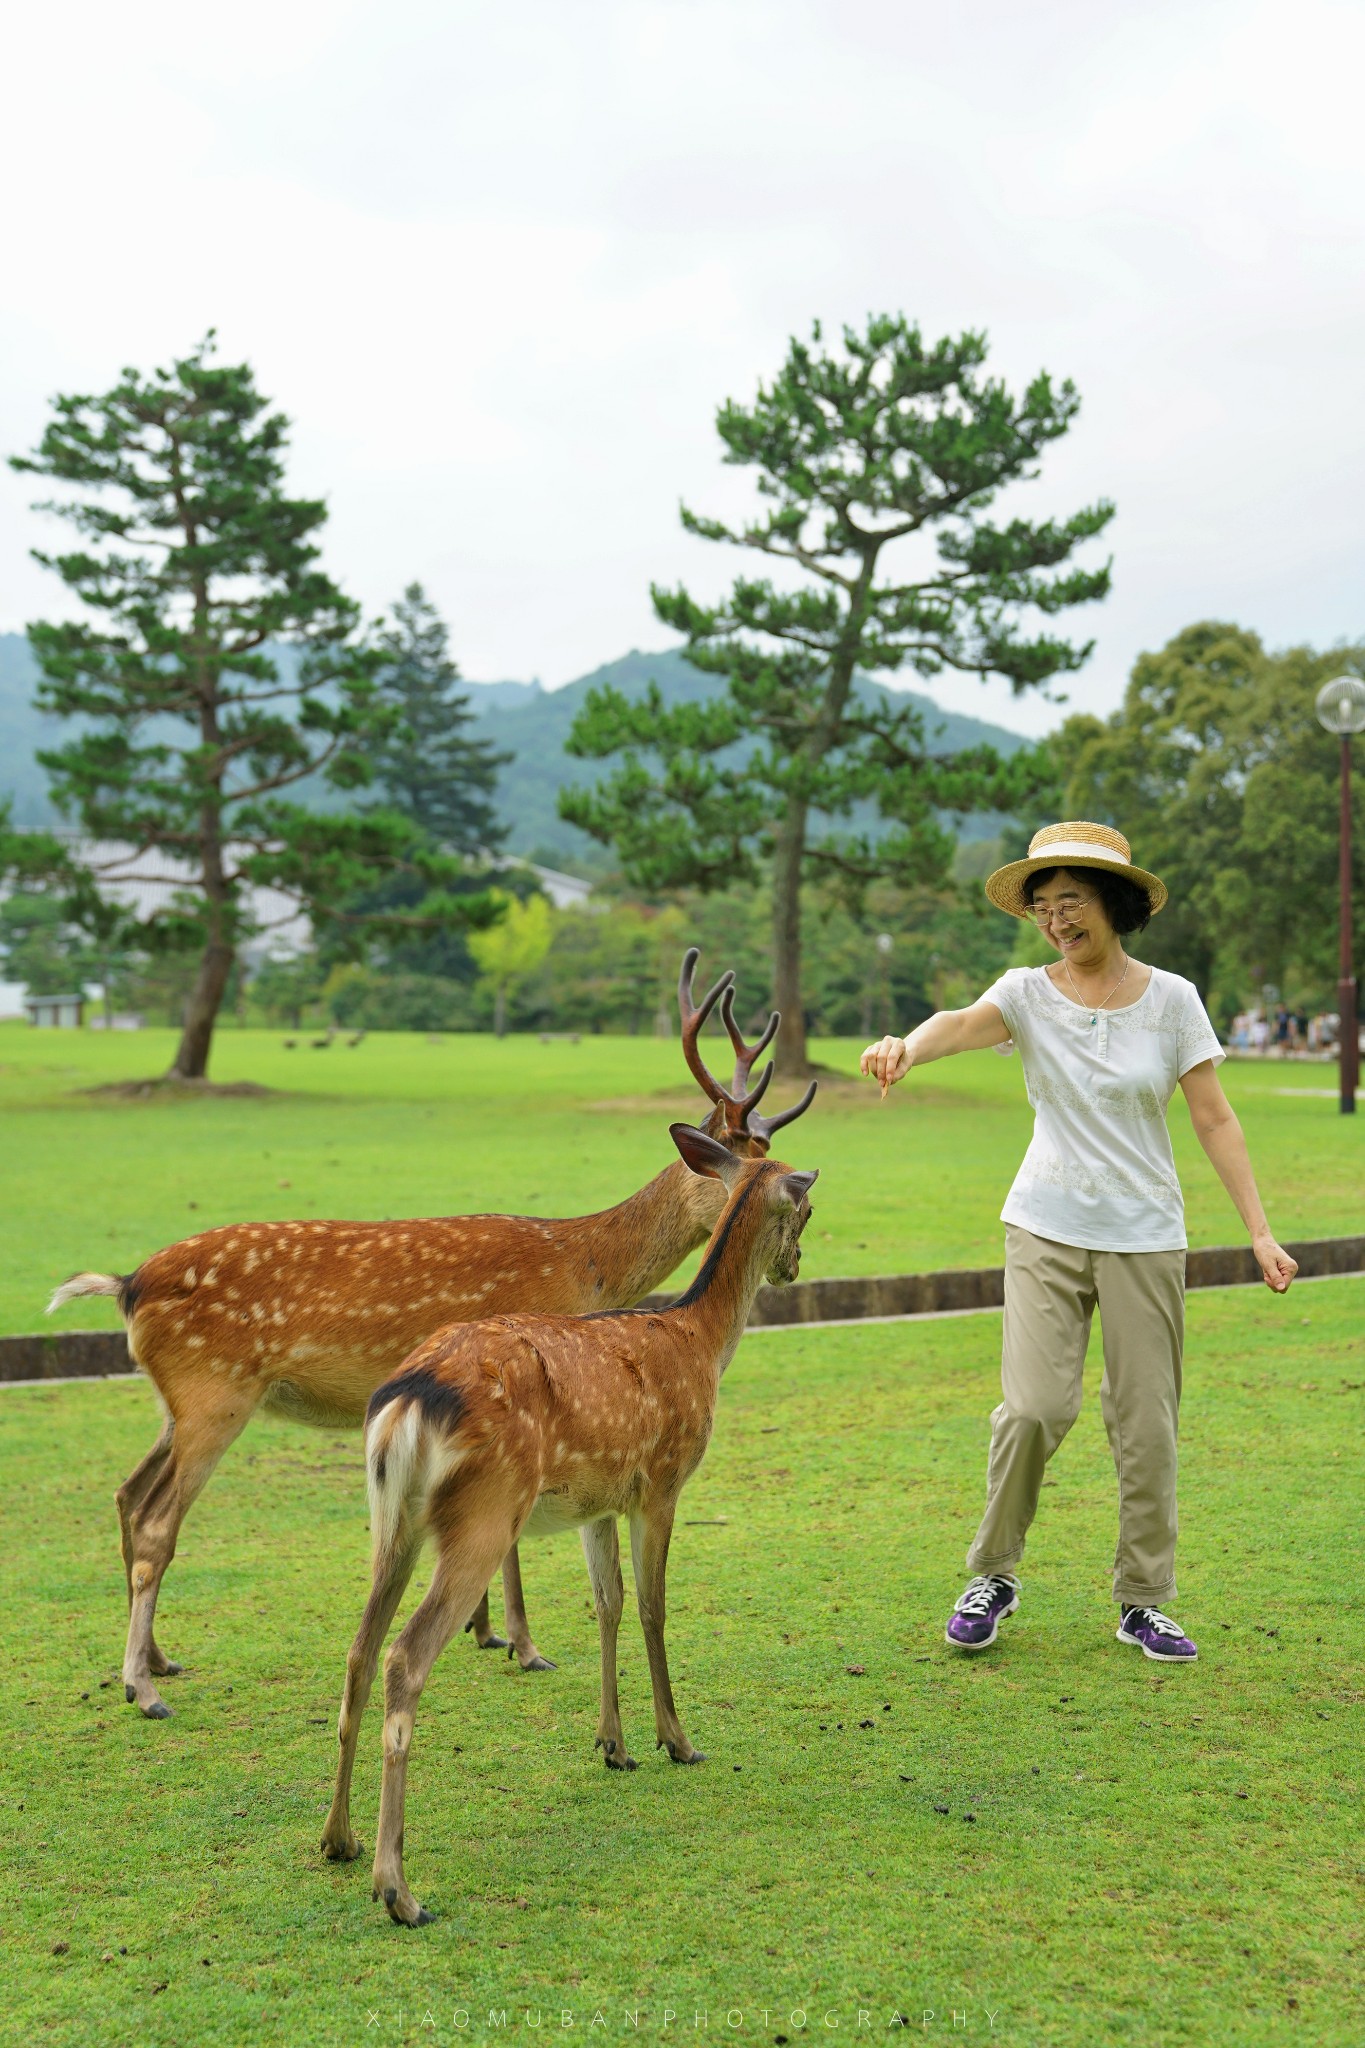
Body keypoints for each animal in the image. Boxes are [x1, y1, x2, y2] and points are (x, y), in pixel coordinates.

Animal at [50, 950, 822, 1720]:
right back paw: (144, 1687)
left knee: (129, 1494)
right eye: (744, 1157)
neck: (584, 1267)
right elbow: (510, 1545)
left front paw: (485, 1632)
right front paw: (522, 1644)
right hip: (215, 1395)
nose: (793, 1240)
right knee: (158, 1521)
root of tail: (127, 1286)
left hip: (176, 1402)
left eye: (768, 1151)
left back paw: (156, 1659)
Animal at [323, 1105, 810, 1916]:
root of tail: (406, 1400)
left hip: (391, 1522)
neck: (702, 1342)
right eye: (804, 1207)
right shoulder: (662, 1482)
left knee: (360, 1649)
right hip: (483, 1516)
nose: (794, 1268)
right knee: (403, 1657)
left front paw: (613, 1745)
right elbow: (651, 1606)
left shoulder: (598, 1503)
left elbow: (606, 1604)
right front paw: (676, 1740)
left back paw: (338, 1840)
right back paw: (398, 1889)